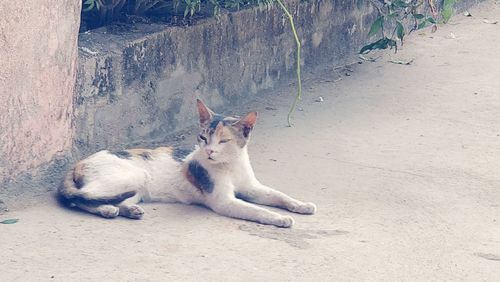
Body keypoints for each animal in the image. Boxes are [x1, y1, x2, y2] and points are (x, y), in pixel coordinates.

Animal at [59, 99, 316, 227]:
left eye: (224, 141)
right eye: (203, 138)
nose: (209, 151)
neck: (230, 165)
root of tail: (79, 162)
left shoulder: (252, 188)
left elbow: (279, 195)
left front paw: (301, 205)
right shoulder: (223, 201)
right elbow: (257, 210)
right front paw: (279, 218)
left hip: (136, 189)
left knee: (100, 199)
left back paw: (126, 210)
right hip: (132, 176)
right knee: (80, 199)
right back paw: (107, 210)